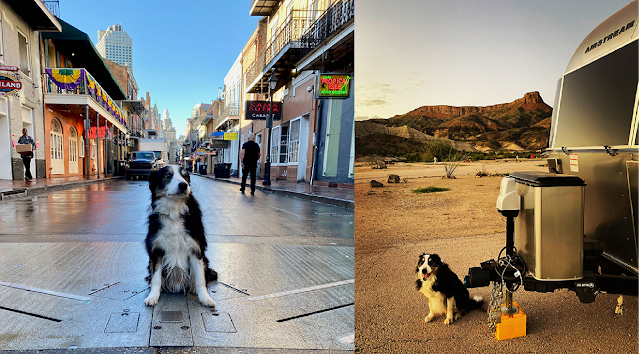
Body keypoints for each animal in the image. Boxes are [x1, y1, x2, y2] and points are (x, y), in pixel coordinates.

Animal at [144, 166, 219, 306]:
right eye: (167, 176)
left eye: (185, 176)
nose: (184, 185)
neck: (174, 212)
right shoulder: (156, 250)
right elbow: (156, 277)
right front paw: (153, 296)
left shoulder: (196, 249)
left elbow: (200, 279)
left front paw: (205, 298)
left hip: (206, 260)